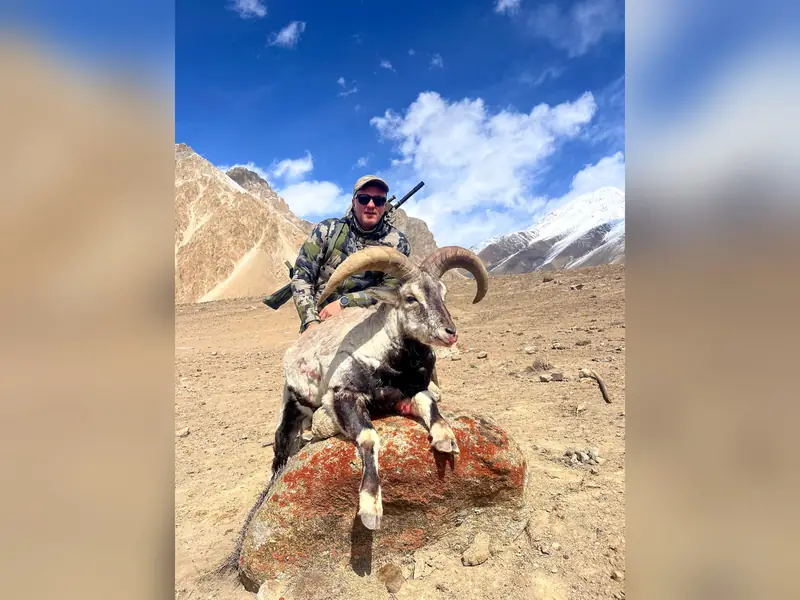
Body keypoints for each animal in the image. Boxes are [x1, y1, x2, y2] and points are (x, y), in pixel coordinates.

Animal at [271, 245, 490, 530]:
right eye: (410, 297)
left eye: (443, 293)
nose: (449, 332)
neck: (389, 363)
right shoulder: (342, 396)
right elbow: (368, 437)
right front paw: (370, 508)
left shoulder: (403, 395)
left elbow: (428, 402)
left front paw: (446, 439)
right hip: (294, 404)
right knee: (281, 442)